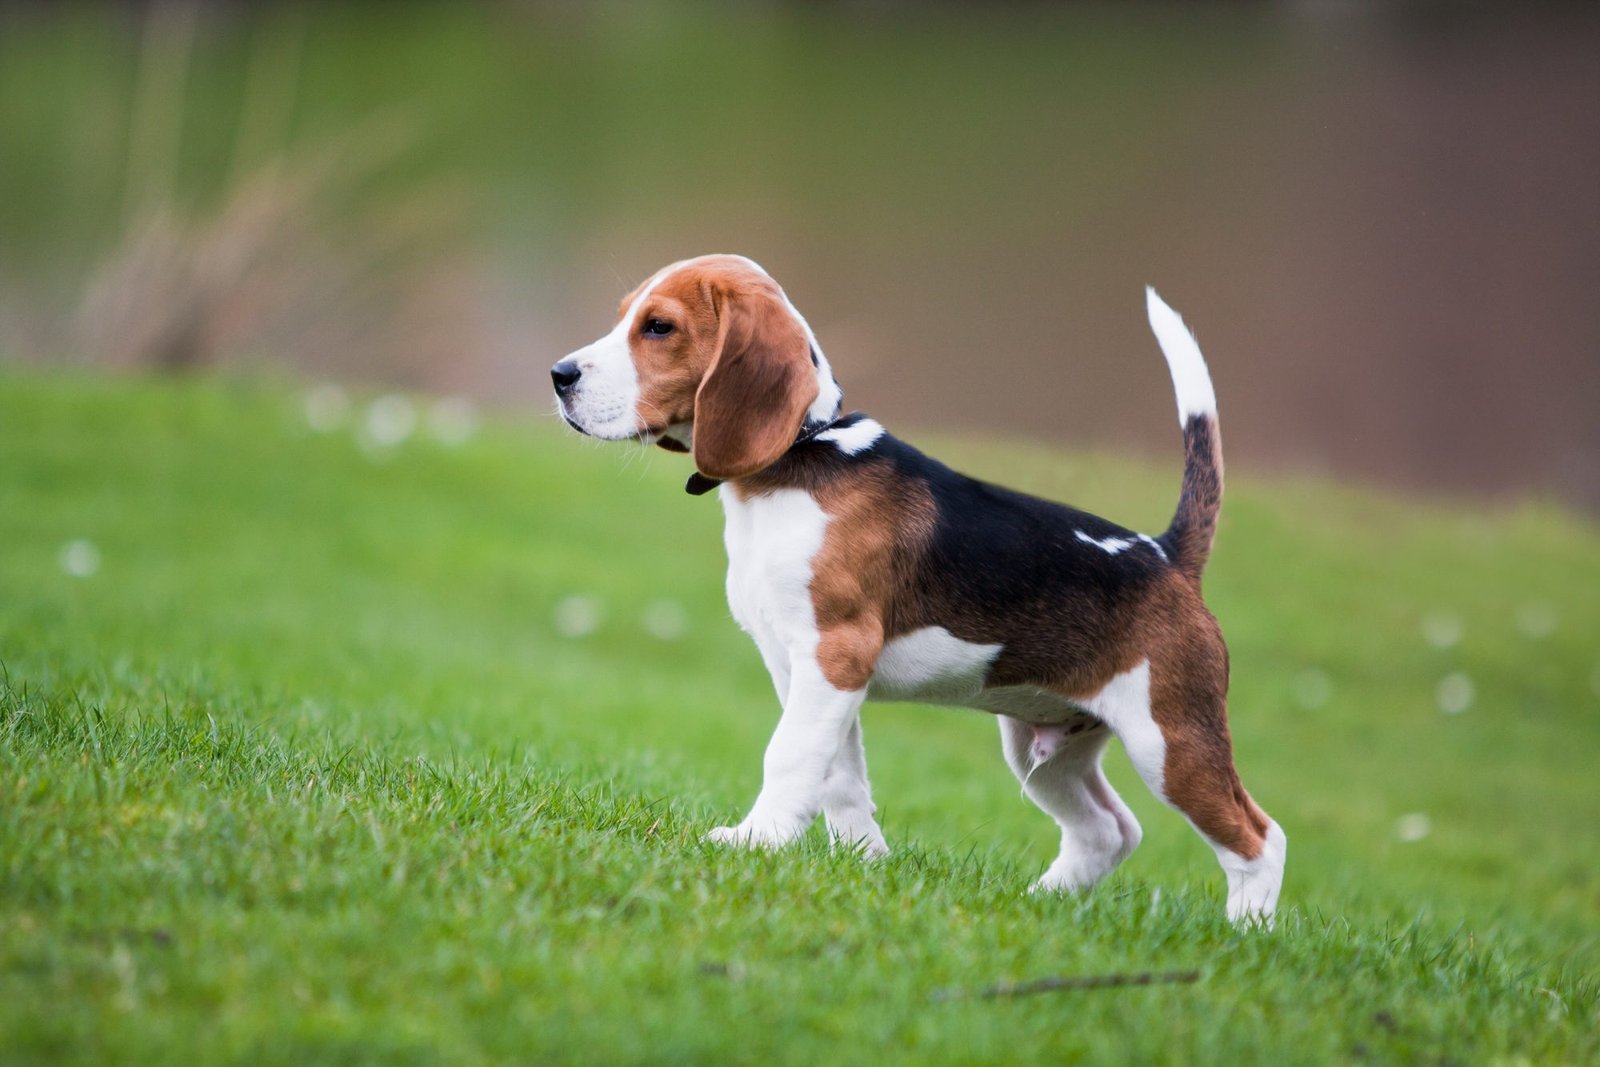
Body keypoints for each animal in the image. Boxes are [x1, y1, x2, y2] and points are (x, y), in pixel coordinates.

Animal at [550, 254, 1286, 921]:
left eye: (659, 327)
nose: (559, 376)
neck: (801, 454)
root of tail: (1166, 555)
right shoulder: (804, 671)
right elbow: (838, 774)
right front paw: (863, 858)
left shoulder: (835, 654)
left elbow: (788, 755)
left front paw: (756, 841)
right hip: (1044, 746)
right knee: (1109, 830)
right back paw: (1039, 904)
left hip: (1170, 740)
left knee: (1259, 838)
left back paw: (1245, 935)